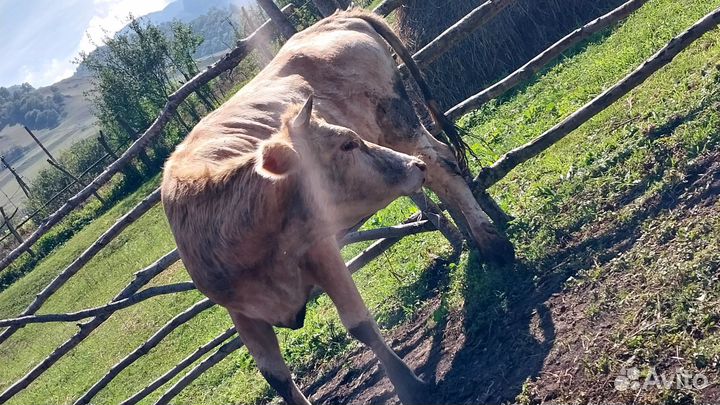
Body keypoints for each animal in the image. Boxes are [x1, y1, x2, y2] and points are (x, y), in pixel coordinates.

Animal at [161, 9, 514, 405]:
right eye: (346, 144)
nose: (411, 168)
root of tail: (337, 19)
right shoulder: (240, 312)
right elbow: (276, 378)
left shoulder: (322, 250)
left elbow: (358, 324)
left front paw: (409, 386)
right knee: (438, 169)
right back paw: (484, 228)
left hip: (397, 123)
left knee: (441, 163)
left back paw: (491, 243)